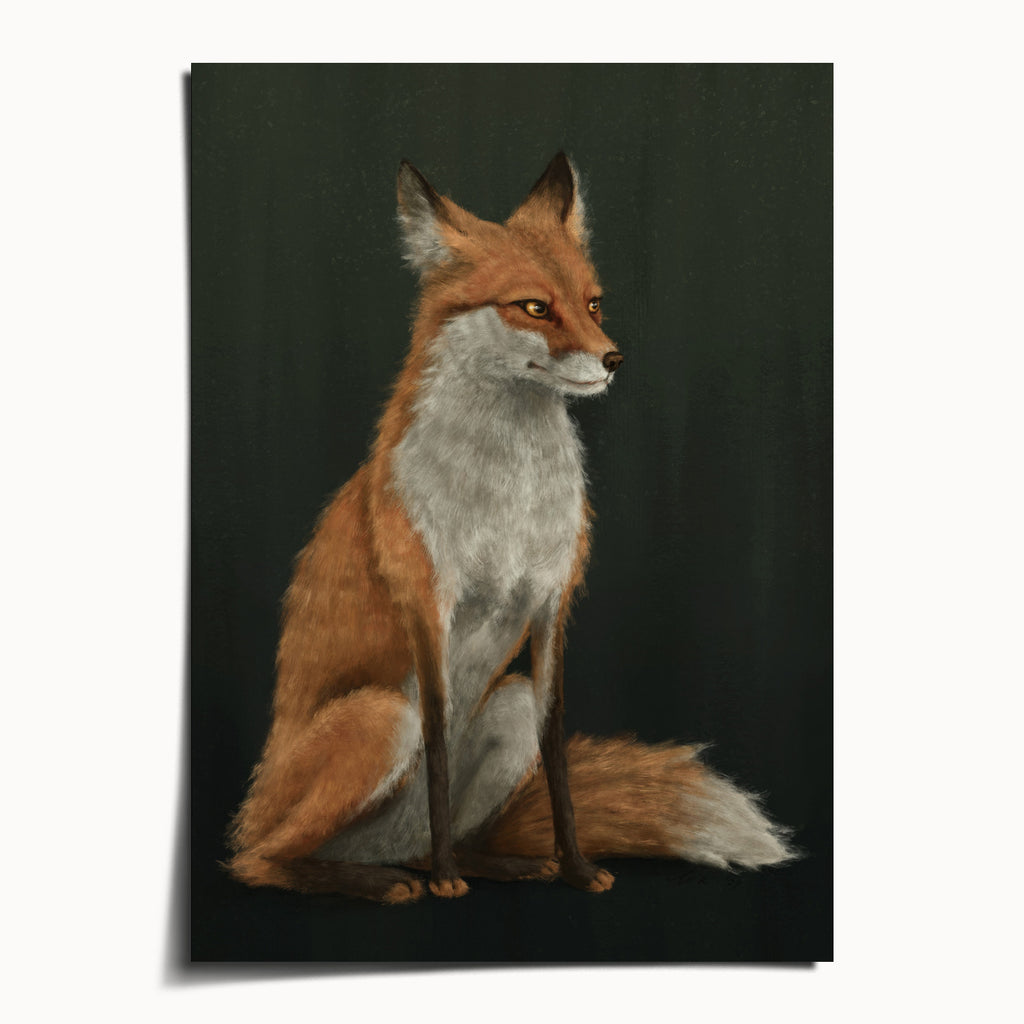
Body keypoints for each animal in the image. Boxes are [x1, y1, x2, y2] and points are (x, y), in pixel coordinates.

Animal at [226, 153, 796, 903]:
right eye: (533, 307)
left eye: (593, 303)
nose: (614, 359)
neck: (509, 498)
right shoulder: (429, 605)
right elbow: (438, 748)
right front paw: (447, 883)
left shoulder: (552, 604)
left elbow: (557, 757)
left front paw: (575, 868)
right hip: (380, 718)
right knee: (260, 860)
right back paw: (387, 880)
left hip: (508, 705)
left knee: (429, 836)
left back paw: (492, 864)